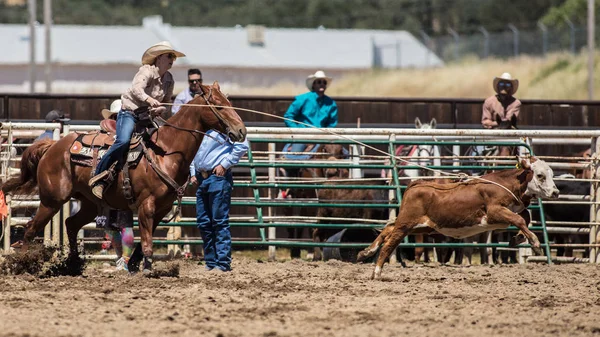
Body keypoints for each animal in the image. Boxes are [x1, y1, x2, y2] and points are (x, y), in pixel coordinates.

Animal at [1, 82, 246, 272]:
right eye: (219, 106)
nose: (241, 131)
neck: (165, 151)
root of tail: (52, 146)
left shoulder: (162, 208)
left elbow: (144, 240)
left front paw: (136, 264)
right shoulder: (146, 205)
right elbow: (146, 241)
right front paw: (146, 268)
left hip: (89, 203)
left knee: (70, 224)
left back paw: (73, 264)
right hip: (52, 200)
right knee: (31, 228)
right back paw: (21, 264)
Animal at [356, 156, 556, 280]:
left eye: (551, 174)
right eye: (540, 175)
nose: (556, 192)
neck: (507, 183)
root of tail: (415, 184)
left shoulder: (505, 215)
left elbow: (525, 217)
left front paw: (517, 239)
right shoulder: (494, 211)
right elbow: (520, 219)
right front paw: (535, 242)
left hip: (422, 225)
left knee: (388, 228)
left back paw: (365, 252)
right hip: (407, 223)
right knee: (390, 243)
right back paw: (376, 271)